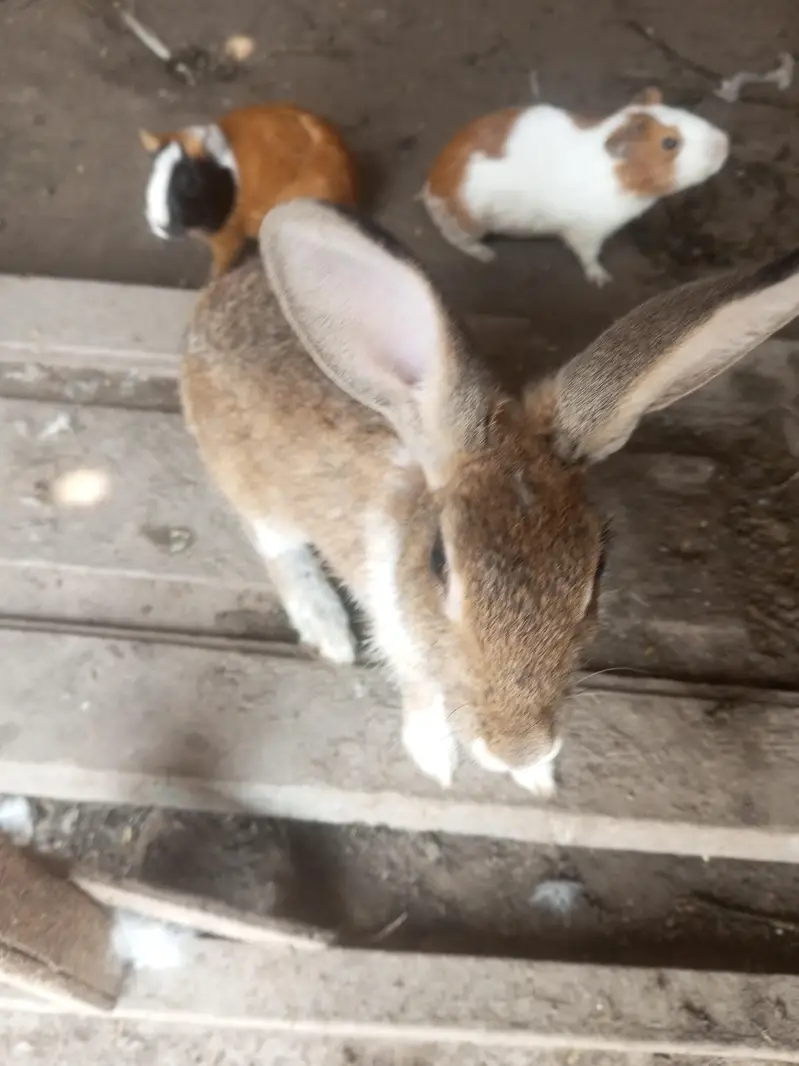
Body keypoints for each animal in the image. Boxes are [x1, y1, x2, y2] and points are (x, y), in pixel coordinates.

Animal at [140, 104, 358, 278]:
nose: (160, 226)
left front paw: (212, 279)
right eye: (154, 170)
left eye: (189, 182)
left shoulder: (227, 236)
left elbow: (222, 261)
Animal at [181, 197, 799, 798]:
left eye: (597, 569)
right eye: (439, 563)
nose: (518, 748)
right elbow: (422, 696)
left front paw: (535, 777)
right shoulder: (403, 643)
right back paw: (326, 629)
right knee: (277, 551)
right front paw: (437, 760)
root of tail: (218, 298)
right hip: (255, 493)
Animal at [421, 87, 730, 285]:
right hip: (472, 226)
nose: (725, 142)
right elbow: (589, 257)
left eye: (680, 112)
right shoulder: (586, 233)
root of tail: (430, 189)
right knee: (457, 239)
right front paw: (603, 280)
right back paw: (488, 256)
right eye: (669, 143)